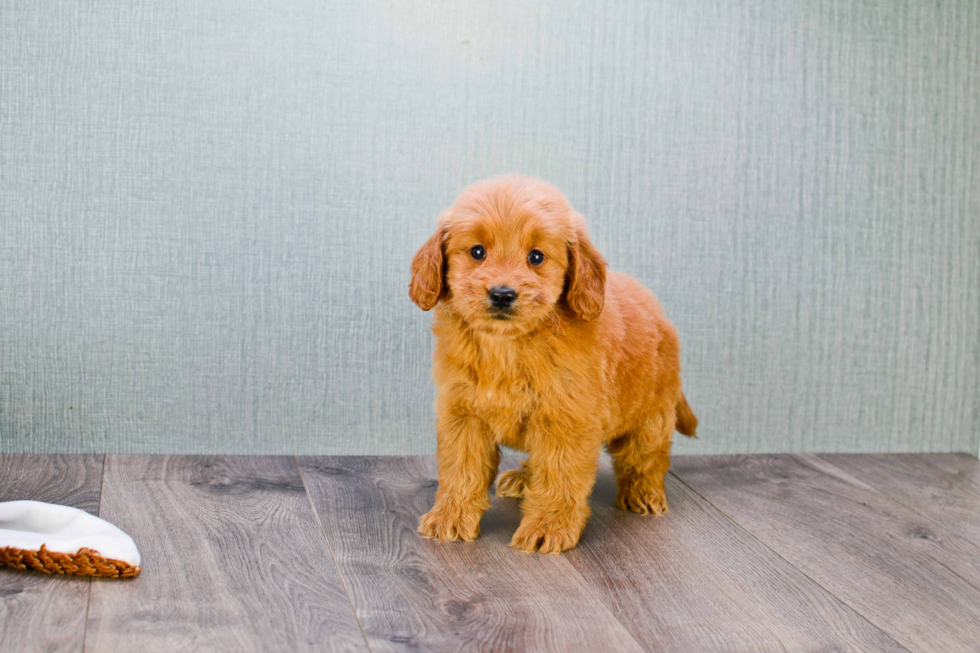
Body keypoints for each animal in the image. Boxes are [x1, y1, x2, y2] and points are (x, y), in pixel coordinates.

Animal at [410, 173, 692, 552]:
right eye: (477, 252)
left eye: (536, 257)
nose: (502, 293)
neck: (508, 347)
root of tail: (658, 312)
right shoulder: (463, 414)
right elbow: (461, 469)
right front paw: (450, 516)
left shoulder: (566, 420)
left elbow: (559, 475)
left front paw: (549, 527)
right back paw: (521, 478)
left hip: (651, 413)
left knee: (646, 457)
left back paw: (644, 494)